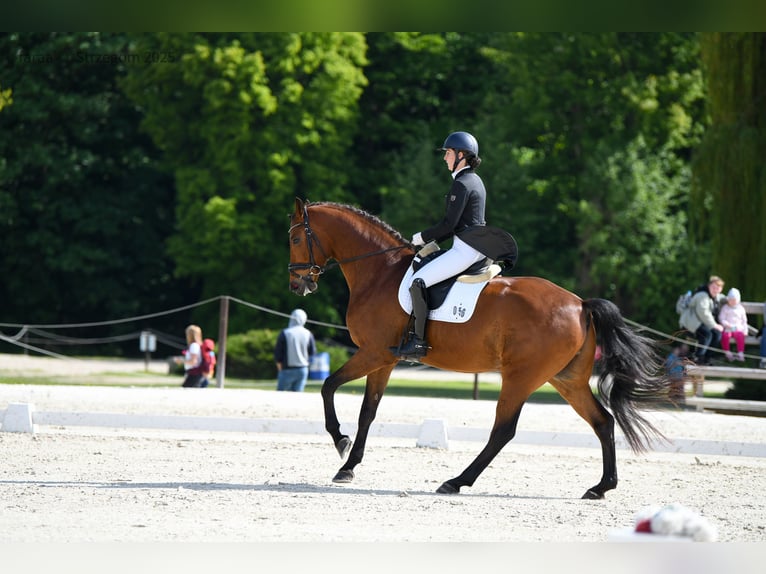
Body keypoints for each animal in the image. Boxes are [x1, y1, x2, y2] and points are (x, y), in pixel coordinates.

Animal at [287, 198, 670, 499]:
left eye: (294, 237)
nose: (297, 284)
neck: (379, 272)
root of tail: (579, 304)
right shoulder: (385, 360)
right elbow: (368, 411)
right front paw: (349, 466)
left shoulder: (374, 352)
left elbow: (327, 386)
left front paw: (340, 441)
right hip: (567, 379)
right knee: (603, 421)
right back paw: (601, 487)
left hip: (521, 377)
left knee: (503, 430)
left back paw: (456, 482)